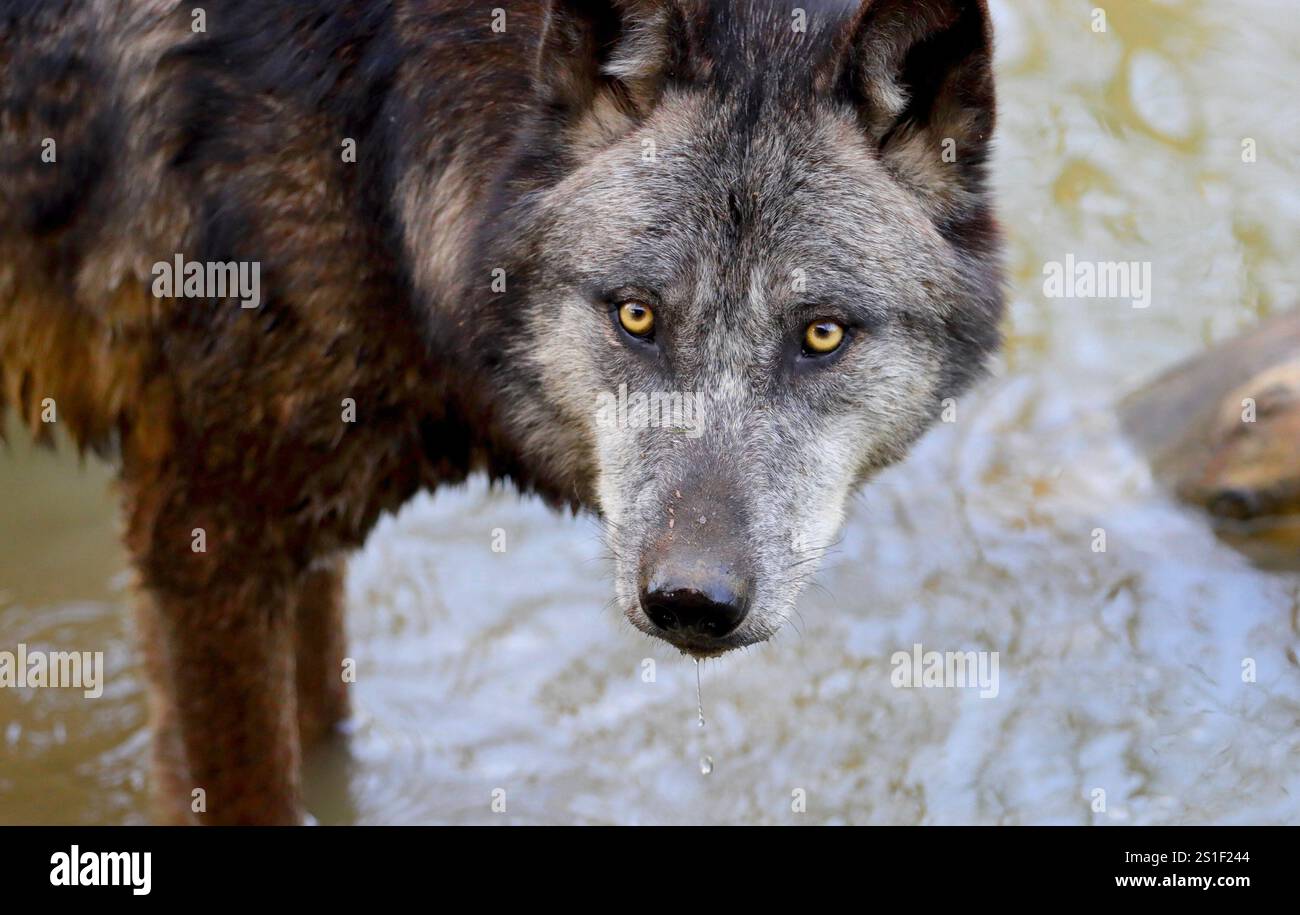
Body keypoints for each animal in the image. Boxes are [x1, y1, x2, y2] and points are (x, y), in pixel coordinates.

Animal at [0, 0, 1002, 823]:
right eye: (636, 314)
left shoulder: (294, 536)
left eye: (821, 333)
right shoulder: (201, 540)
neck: (377, 142)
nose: (691, 600)